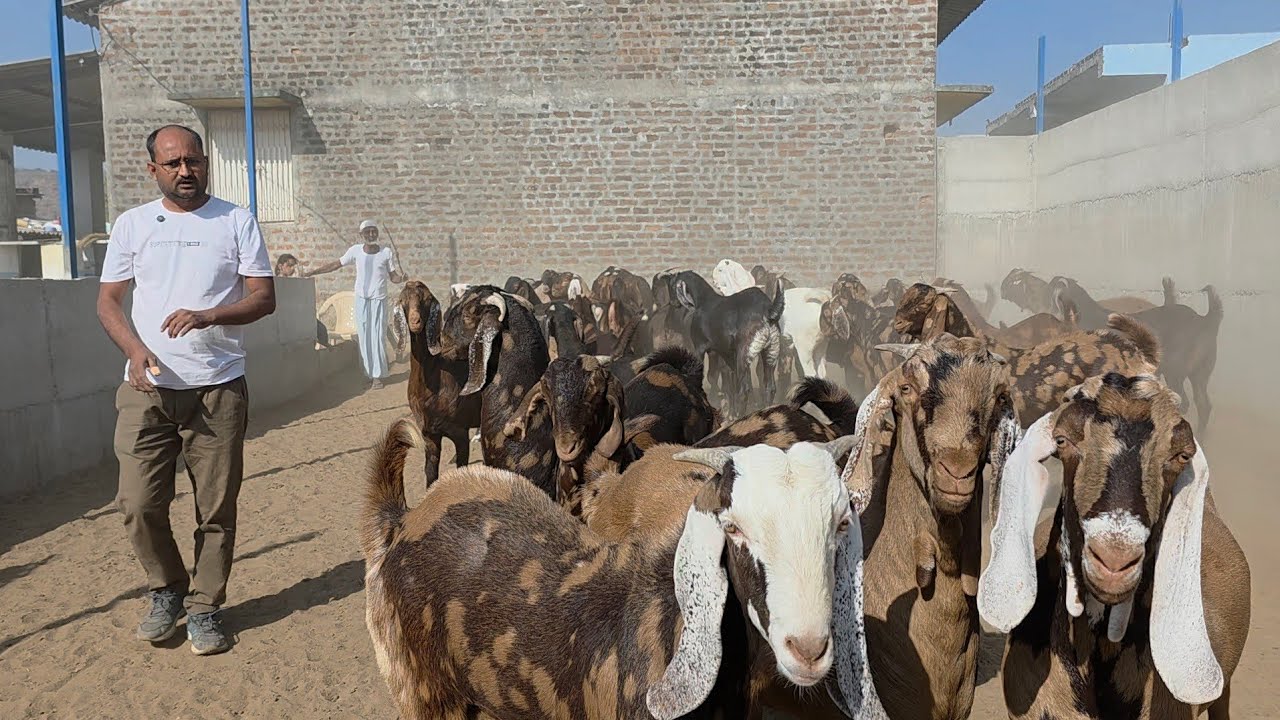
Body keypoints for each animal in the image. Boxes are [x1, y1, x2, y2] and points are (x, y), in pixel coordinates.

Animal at [397, 281, 481, 486]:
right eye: (403, 300)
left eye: (426, 300)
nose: (415, 321)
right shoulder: (429, 434)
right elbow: (430, 472)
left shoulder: (460, 433)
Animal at [674, 271, 786, 417]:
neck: (704, 300)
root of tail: (767, 312)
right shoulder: (723, 356)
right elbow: (723, 382)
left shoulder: (700, 349)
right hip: (771, 353)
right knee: (769, 387)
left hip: (744, 357)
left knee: (744, 390)